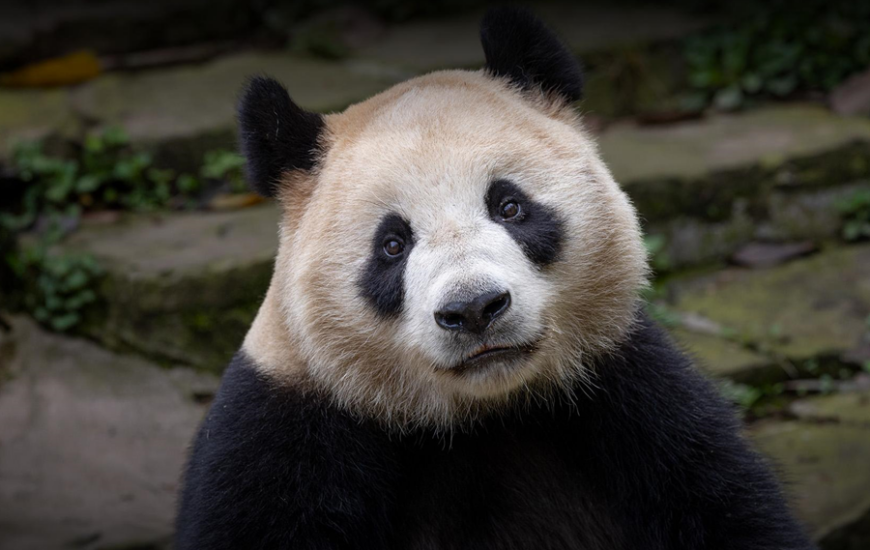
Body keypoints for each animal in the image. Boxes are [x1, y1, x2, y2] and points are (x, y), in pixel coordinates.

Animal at [176, 8, 816, 550]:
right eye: (392, 245)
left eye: (509, 206)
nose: (474, 309)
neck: (479, 415)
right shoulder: (286, 431)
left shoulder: (633, 394)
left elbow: (726, 505)